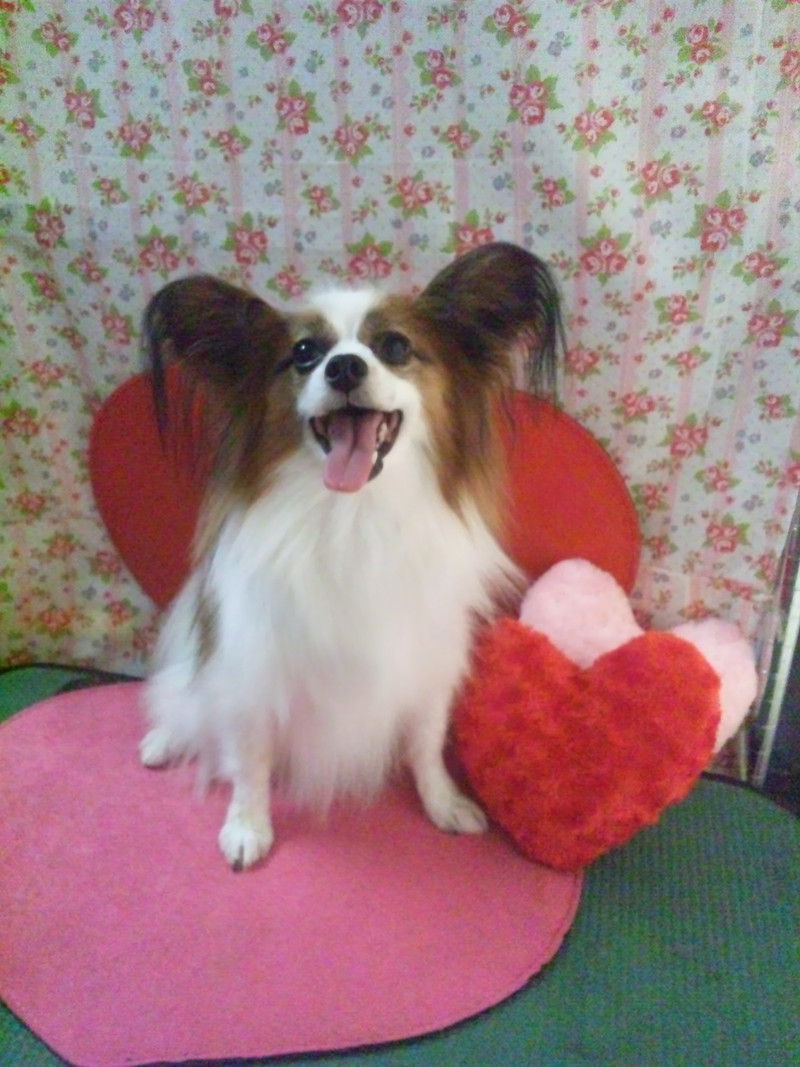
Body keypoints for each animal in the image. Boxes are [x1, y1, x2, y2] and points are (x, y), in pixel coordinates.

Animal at [139, 242, 562, 869]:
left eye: (395, 346)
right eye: (304, 354)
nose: (344, 367)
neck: (353, 517)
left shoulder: (428, 662)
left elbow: (426, 744)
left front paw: (442, 802)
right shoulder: (253, 666)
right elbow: (250, 759)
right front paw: (246, 825)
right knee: (189, 694)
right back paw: (164, 739)